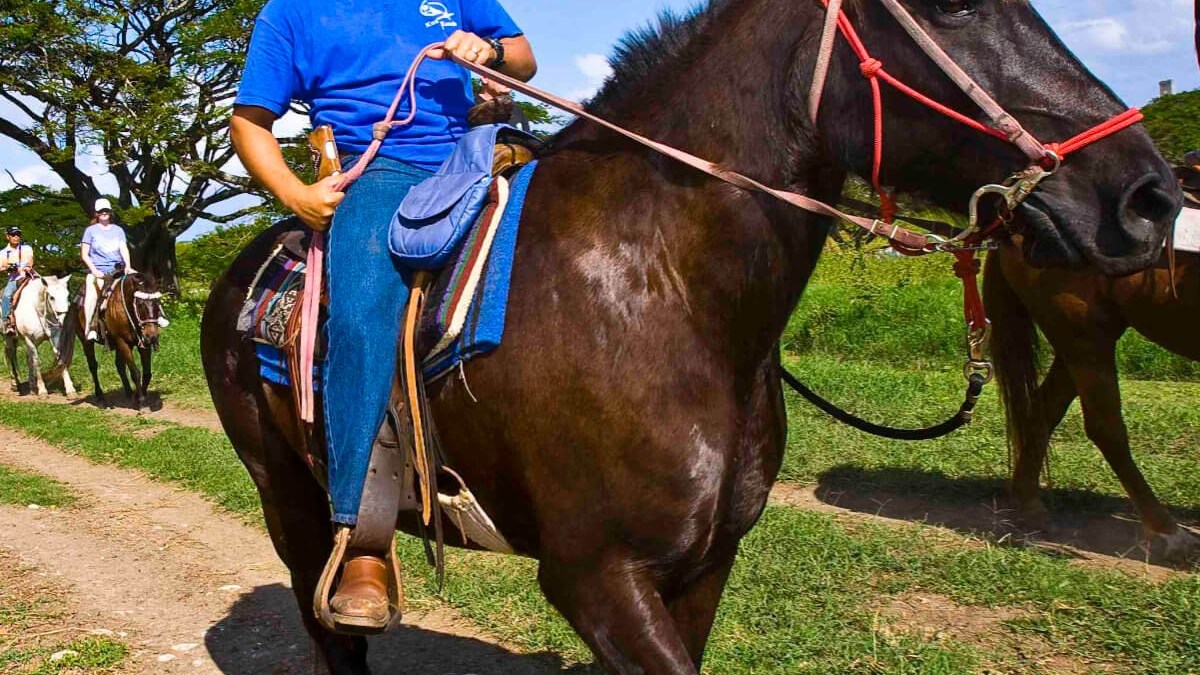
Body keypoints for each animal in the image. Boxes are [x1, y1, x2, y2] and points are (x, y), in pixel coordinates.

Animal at [53, 272, 165, 411]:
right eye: (139, 304)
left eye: (157, 303)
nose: (152, 336)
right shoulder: (122, 342)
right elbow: (135, 373)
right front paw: (142, 402)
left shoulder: (142, 344)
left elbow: (147, 373)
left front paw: (139, 396)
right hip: (87, 342)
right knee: (93, 366)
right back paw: (101, 398)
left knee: (119, 366)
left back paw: (129, 392)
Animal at [986, 235, 1200, 563]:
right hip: (1084, 336)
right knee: (1106, 430)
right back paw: (1167, 533)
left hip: (1078, 340)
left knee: (1044, 410)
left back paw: (1031, 506)